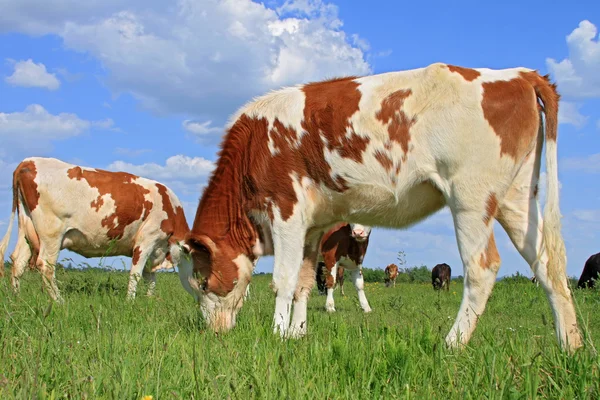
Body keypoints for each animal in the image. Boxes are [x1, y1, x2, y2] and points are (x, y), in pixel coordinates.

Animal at [0, 158, 193, 302]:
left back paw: (16, 298)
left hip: (27, 228)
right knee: (45, 265)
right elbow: (136, 274)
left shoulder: (155, 249)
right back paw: (59, 301)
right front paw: (130, 301)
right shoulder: (146, 240)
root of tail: (29, 161)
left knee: (18, 261)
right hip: (51, 232)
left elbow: (150, 277)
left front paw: (149, 299)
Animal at [186, 61, 580, 352]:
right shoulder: (314, 226)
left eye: (203, 283)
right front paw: (298, 333)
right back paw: (571, 345)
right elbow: (305, 282)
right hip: (517, 198)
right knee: (547, 264)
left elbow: (282, 281)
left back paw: (451, 344)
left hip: (471, 196)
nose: (214, 332)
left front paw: (278, 334)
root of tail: (519, 73)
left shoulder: (286, 210)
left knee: (483, 268)